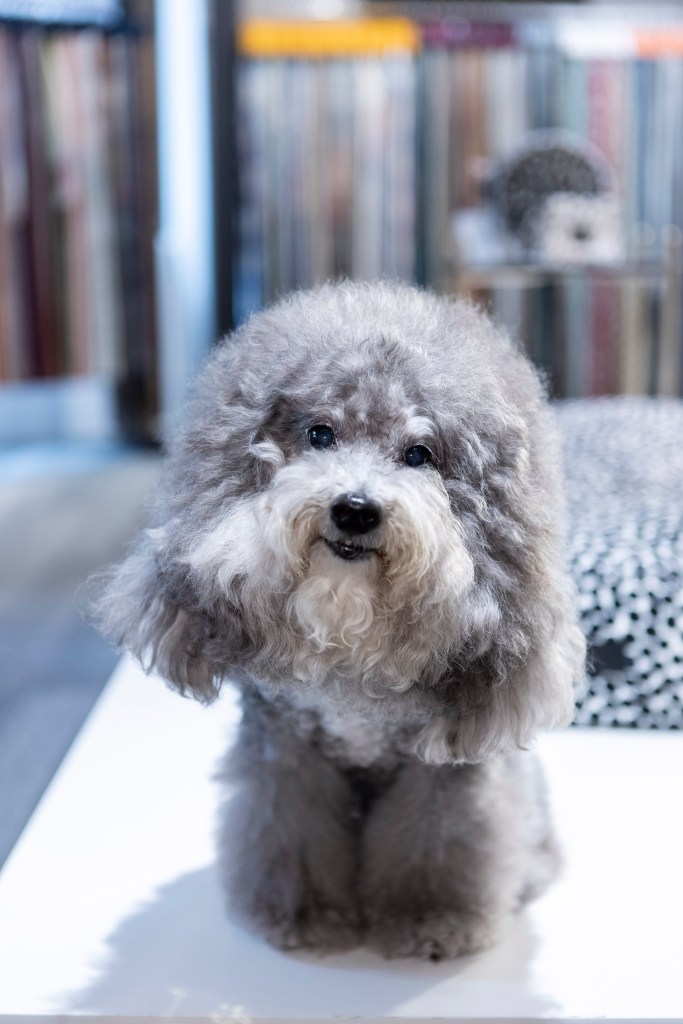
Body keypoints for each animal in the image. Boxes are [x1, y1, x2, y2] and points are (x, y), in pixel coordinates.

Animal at [93, 281, 585, 961]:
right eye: (320, 433)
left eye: (419, 454)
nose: (355, 508)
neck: (350, 639)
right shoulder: (286, 750)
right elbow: (289, 833)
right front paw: (302, 915)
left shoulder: (441, 772)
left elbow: (440, 844)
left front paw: (429, 920)